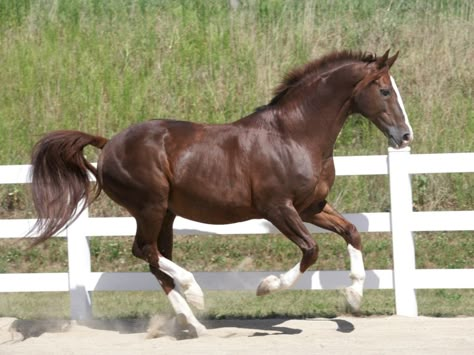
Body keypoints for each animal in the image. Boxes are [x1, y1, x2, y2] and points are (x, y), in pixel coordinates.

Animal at [28, 49, 412, 336]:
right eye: (385, 91)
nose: (405, 136)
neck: (294, 136)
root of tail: (108, 144)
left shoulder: (311, 206)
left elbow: (352, 232)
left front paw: (353, 298)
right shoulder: (278, 209)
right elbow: (311, 250)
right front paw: (265, 287)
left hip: (166, 214)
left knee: (155, 259)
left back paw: (192, 323)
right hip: (150, 206)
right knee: (145, 251)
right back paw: (195, 295)